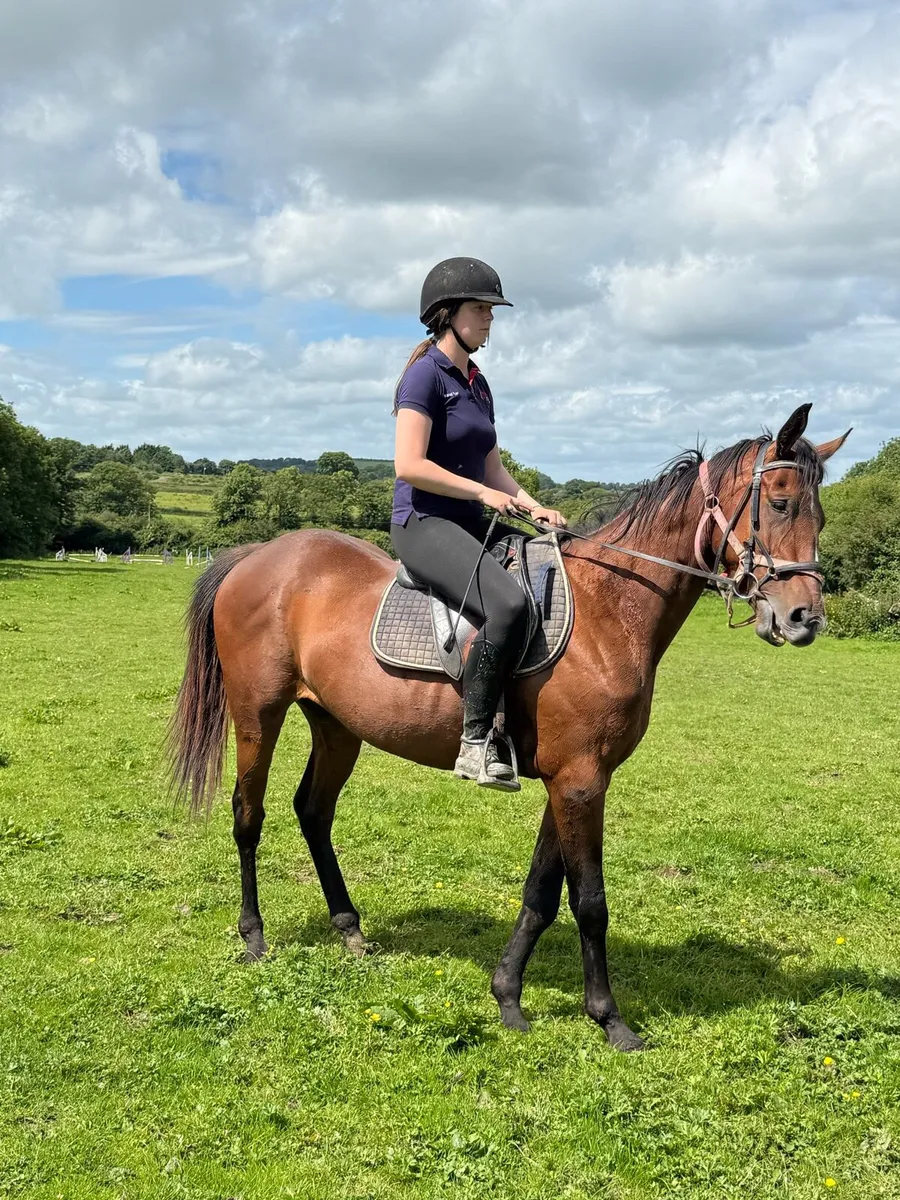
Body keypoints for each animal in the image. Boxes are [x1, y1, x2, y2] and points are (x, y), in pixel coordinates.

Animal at [168, 404, 848, 1052]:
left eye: (819, 513)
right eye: (780, 503)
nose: (803, 618)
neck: (608, 607)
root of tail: (256, 557)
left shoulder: (572, 779)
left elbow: (541, 895)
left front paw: (508, 998)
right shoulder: (580, 782)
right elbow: (590, 903)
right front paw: (610, 1020)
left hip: (337, 724)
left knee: (312, 811)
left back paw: (350, 929)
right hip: (258, 715)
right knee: (248, 814)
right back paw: (254, 936)